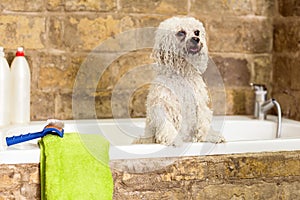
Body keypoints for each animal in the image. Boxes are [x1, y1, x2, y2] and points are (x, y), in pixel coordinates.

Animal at [138, 16, 223, 145]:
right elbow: (167, 124)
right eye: (181, 33)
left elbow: (203, 121)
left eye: (197, 32)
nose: (196, 39)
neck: (182, 74)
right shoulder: (163, 104)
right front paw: (173, 138)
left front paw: (211, 135)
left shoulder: (199, 104)